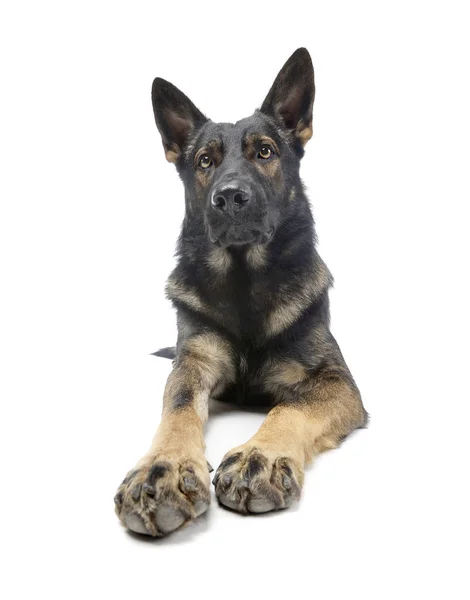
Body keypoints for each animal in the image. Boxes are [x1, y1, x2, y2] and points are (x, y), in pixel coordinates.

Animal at [113, 45, 368, 536]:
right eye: (204, 161)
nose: (230, 197)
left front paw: (260, 457)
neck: (244, 281)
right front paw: (163, 468)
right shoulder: (193, 363)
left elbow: (291, 408)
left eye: (264, 151)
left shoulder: (336, 382)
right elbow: (177, 409)